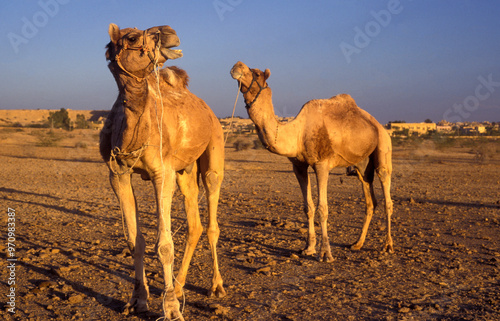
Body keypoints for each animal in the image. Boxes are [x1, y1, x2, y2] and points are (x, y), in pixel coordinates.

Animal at [100, 23, 226, 318]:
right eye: (132, 37)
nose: (169, 32)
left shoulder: (162, 173)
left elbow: (165, 245)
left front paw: (170, 309)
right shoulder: (118, 174)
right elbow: (135, 241)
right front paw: (137, 301)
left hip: (214, 148)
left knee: (212, 218)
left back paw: (215, 286)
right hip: (185, 171)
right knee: (195, 224)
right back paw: (179, 288)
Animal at [230, 61, 394, 262]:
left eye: (256, 73)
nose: (237, 65)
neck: (298, 133)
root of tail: (379, 125)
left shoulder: (321, 164)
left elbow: (323, 208)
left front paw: (326, 253)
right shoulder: (298, 166)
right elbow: (308, 207)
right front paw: (308, 248)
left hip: (383, 147)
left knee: (387, 196)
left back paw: (388, 245)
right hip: (362, 165)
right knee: (370, 199)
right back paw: (357, 244)